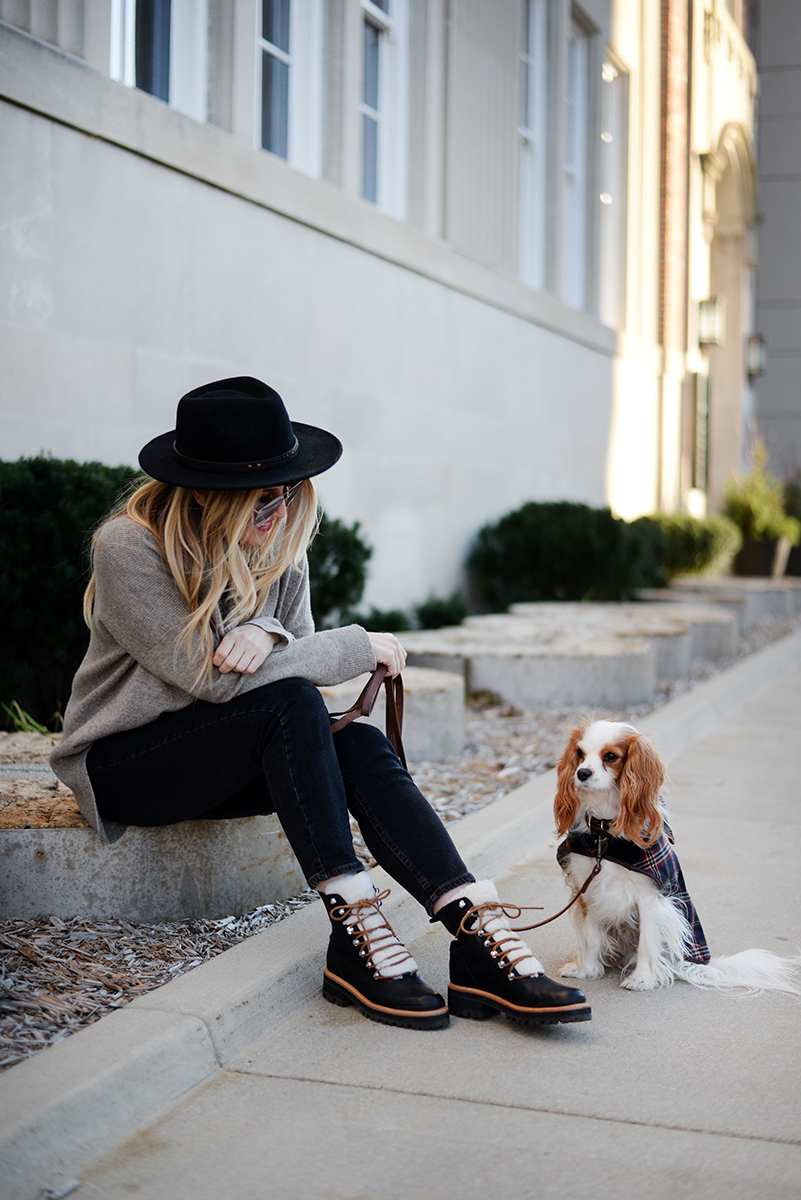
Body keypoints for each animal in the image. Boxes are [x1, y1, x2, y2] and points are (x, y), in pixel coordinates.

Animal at [553, 720, 796, 993]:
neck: (604, 835)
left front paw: (642, 979)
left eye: (611, 757)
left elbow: (647, 942)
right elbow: (590, 937)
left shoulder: (649, 897)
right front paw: (586, 970)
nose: (582, 773)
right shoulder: (587, 890)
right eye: (580, 754)